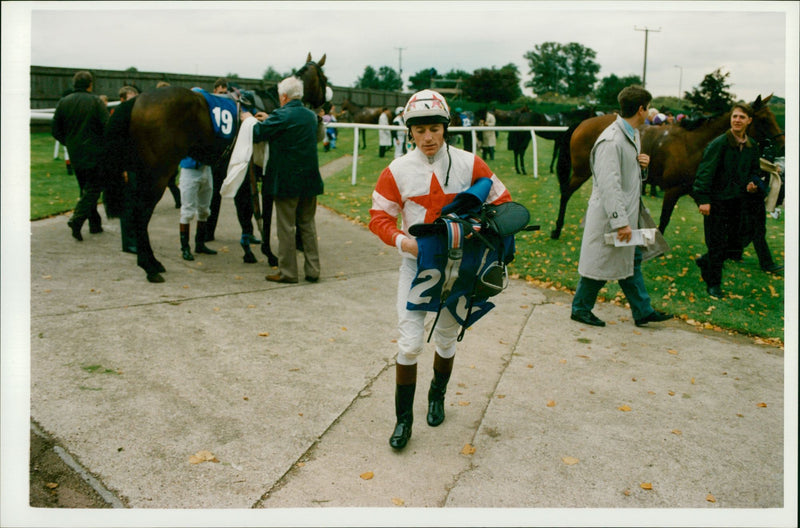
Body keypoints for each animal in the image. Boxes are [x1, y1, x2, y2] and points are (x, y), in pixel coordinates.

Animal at [105, 54, 328, 282]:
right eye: (324, 78)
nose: (325, 108)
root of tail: (137, 100)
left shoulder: (246, 177)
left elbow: (245, 214)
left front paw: (248, 251)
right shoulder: (266, 177)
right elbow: (263, 219)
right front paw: (269, 254)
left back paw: (152, 262)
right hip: (158, 174)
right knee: (141, 213)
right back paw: (149, 267)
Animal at [548, 96, 784, 240]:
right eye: (764, 119)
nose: (782, 145)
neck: (695, 144)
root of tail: (583, 123)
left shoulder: (696, 192)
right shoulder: (673, 190)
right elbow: (665, 219)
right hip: (582, 171)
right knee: (566, 192)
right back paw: (557, 228)